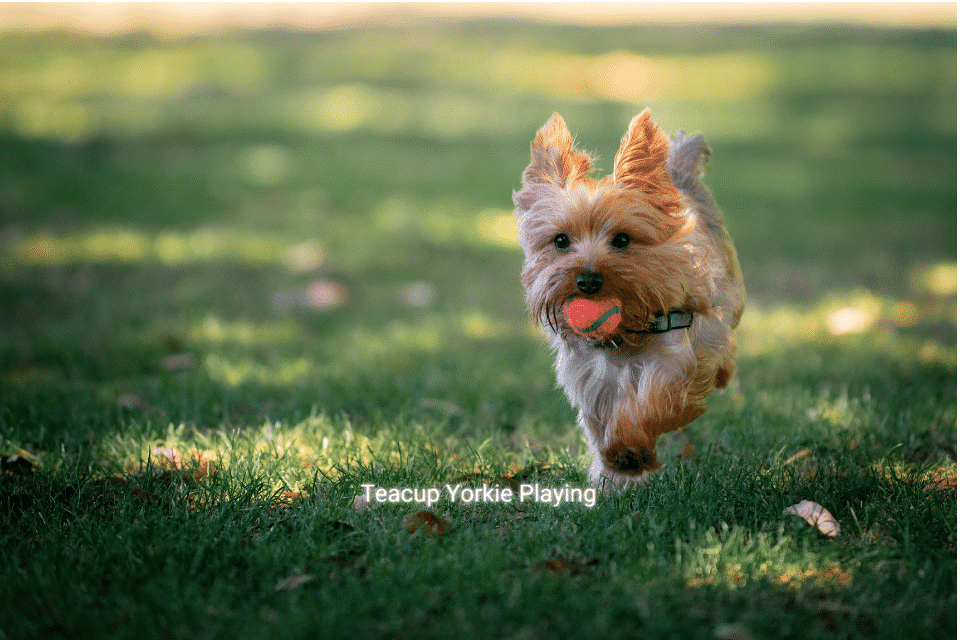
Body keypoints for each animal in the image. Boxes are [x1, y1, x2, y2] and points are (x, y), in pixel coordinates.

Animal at [512, 110, 748, 488]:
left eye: (622, 240)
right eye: (560, 241)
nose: (587, 281)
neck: (625, 333)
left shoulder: (677, 353)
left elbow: (655, 398)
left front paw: (629, 447)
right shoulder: (591, 376)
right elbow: (601, 420)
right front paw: (613, 473)